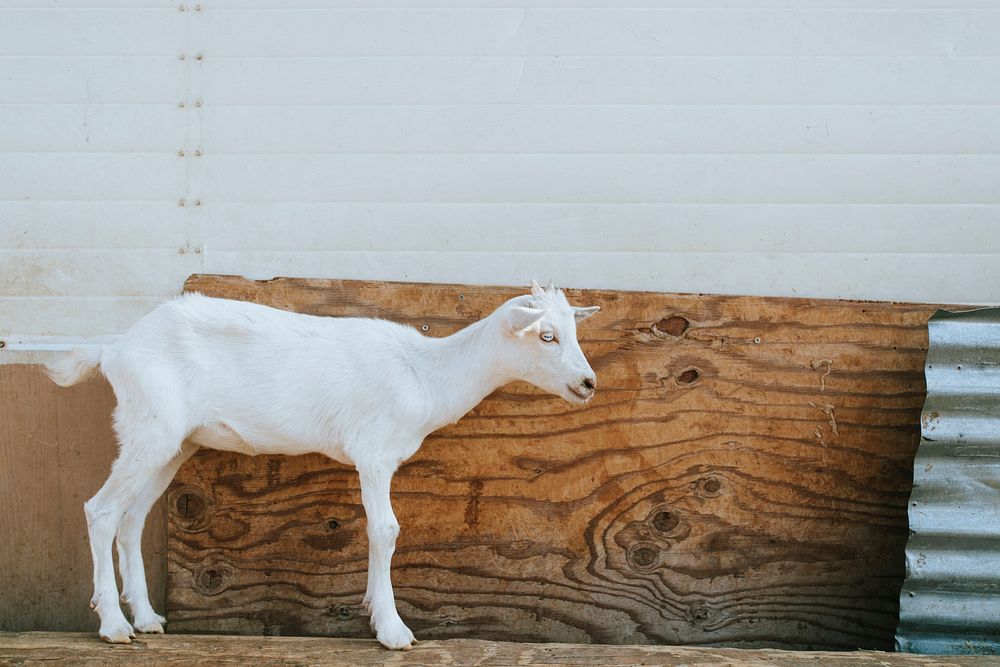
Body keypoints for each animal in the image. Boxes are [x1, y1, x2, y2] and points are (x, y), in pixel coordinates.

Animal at [45, 280, 599, 650]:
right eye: (546, 336)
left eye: (573, 331)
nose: (589, 383)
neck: (425, 373)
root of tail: (116, 349)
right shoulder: (373, 453)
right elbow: (385, 529)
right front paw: (393, 630)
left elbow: (380, 531)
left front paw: (376, 613)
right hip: (150, 427)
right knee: (101, 510)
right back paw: (113, 626)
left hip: (171, 441)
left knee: (132, 518)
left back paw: (145, 618)